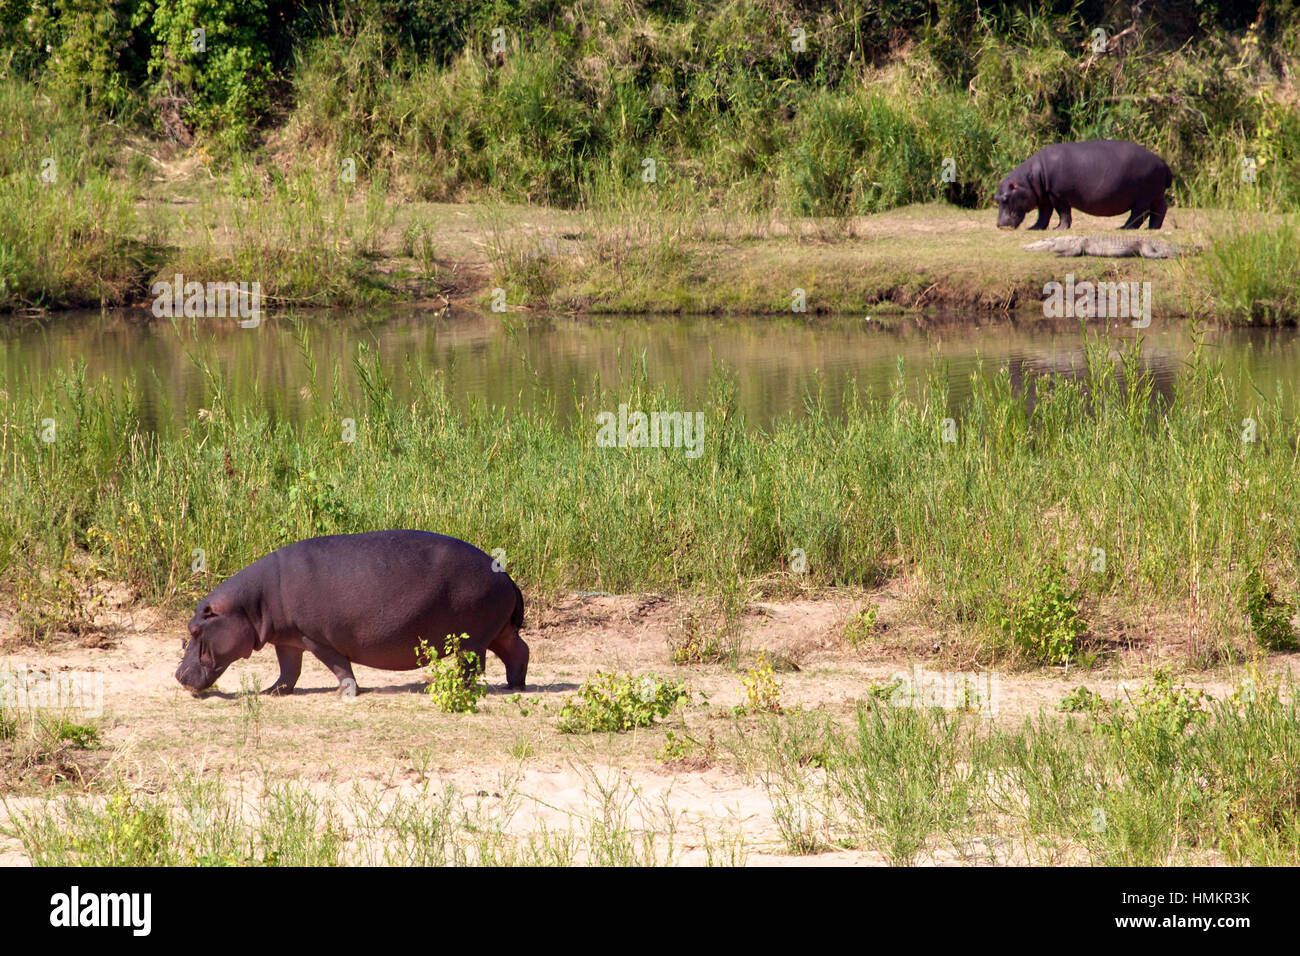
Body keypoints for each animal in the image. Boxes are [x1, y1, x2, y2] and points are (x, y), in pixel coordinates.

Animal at [175, 528, 530, 697]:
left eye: (195, 630)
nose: (177, 675)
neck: (249, 605)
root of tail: (507, 576)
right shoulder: (288, 639)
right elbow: (289, 670)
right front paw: (271, 692)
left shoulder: (315, 638)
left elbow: (338, 666)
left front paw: (344, 691)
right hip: (497, 630)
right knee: (518, 650)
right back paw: (514, 686)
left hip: (472, 638)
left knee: (472, 666)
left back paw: (447, 686)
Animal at [998, 139, 1175, 231]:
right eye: (996, 198)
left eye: (1005, 198)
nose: (999, 225)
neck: (1030, 178)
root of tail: (1163, 163)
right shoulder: (1045, 197)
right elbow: (1044, 214)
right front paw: (1034, 228)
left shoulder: (1057, 195)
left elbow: (1063, 212)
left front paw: (1059, 229)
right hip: (1156, 195)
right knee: (1160, 209)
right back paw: (1152, 228)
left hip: (1143, 197)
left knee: (1140, 214)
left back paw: (1124, 227)